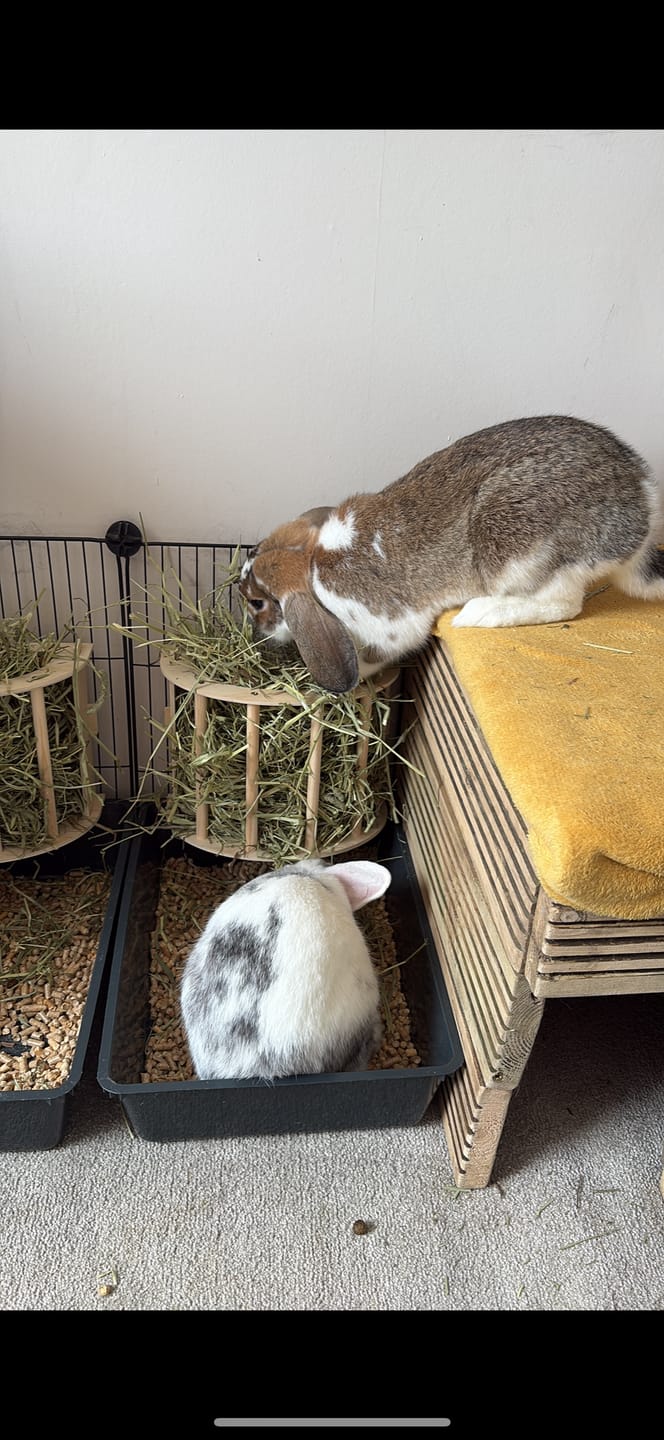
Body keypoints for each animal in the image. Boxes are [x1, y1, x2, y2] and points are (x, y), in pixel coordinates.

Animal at [238, 414, 664, 693]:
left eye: (258, 602)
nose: (259, 635)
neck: (311, 561)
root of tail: (643, 497)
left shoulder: (385, 628)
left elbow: (375, 656)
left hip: (517, 545)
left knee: (563, 604)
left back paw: (480, 613)